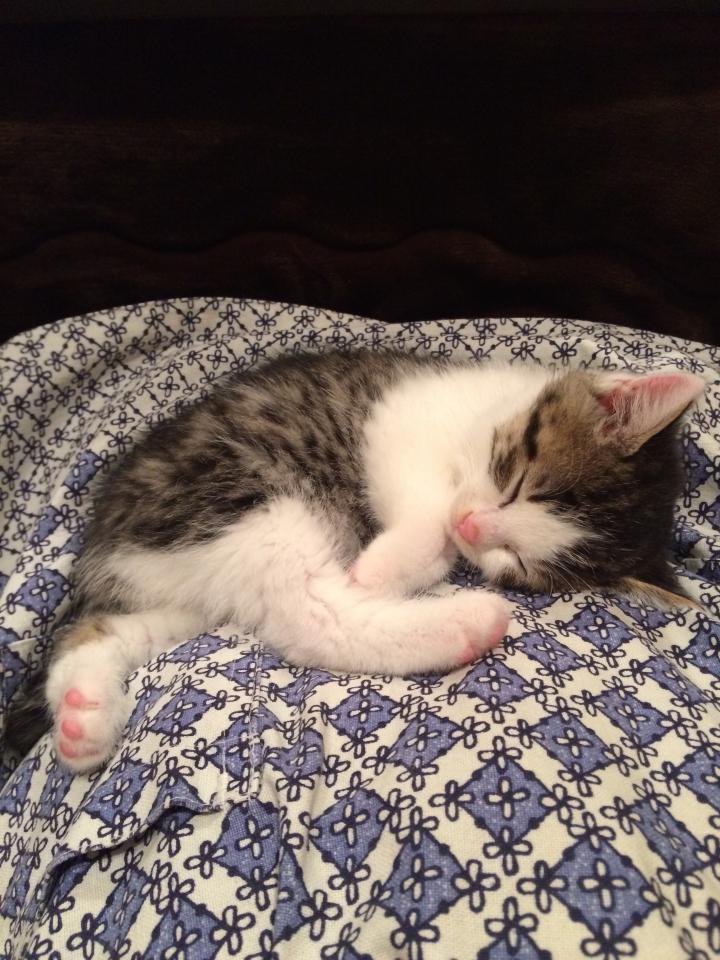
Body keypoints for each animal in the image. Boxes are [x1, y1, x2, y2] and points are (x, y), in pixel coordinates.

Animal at [10, 349, 705, 773]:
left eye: (517, 562)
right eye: (514, 480)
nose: (474, 527)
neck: (476, 421)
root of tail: (108, 535)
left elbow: (435, 541)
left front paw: (407, 561)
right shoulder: (398, 423)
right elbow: (424, 508)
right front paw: (385, 565)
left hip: (195, 577)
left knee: (109, 630)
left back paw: (83, 718)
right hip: (250, 491)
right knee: (306, 614)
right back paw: (460, 619)